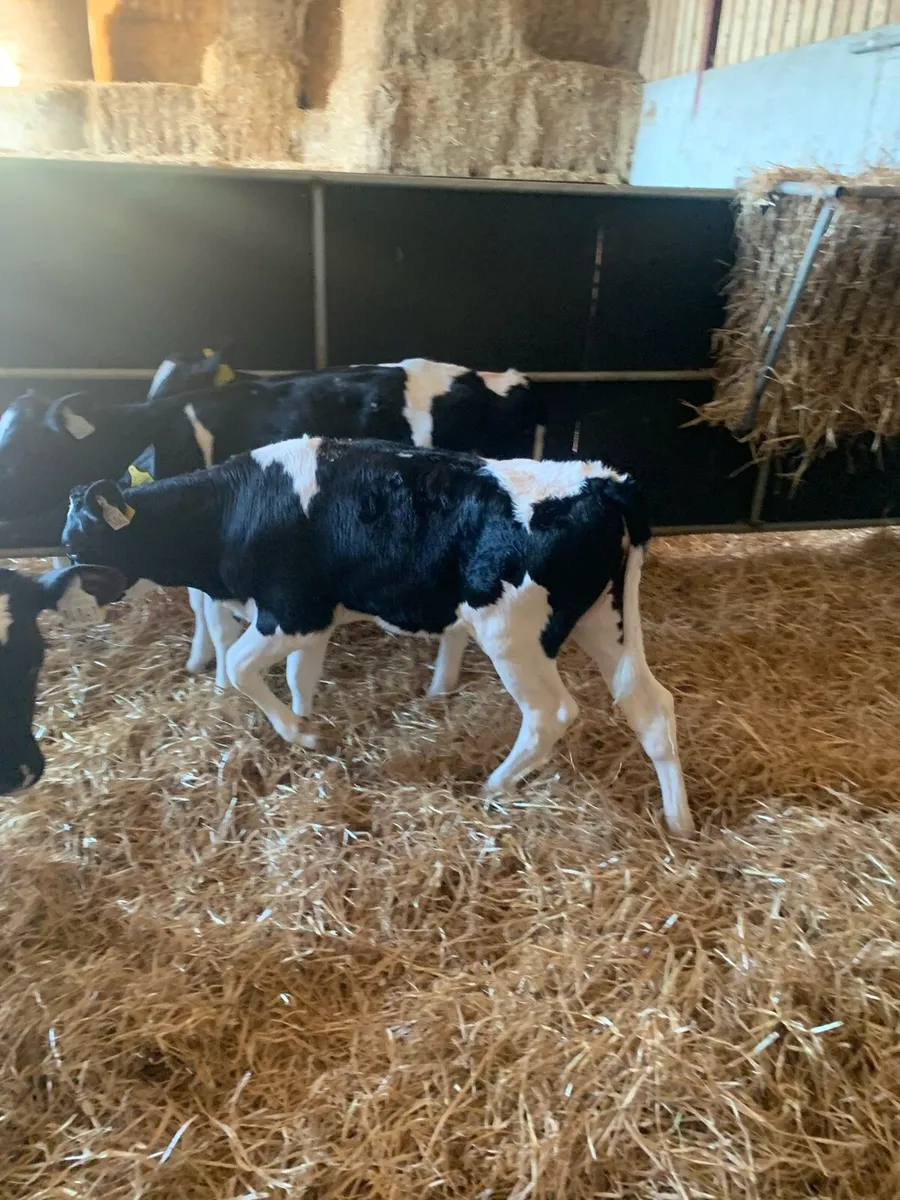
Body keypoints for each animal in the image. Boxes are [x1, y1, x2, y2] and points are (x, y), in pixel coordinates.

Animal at [61, 438, 693, 834]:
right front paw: (307, 727)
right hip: (605, 618)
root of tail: (601, 481)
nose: (66, 605)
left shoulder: (291, 611)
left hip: (514, 636)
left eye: (76, 544)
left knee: (551, 714)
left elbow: (241, 667)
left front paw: (297, 733)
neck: (232, 510)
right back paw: (678, 822)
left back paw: (493, 785)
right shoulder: (312, 618)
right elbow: (299, 676)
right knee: (651, 705)